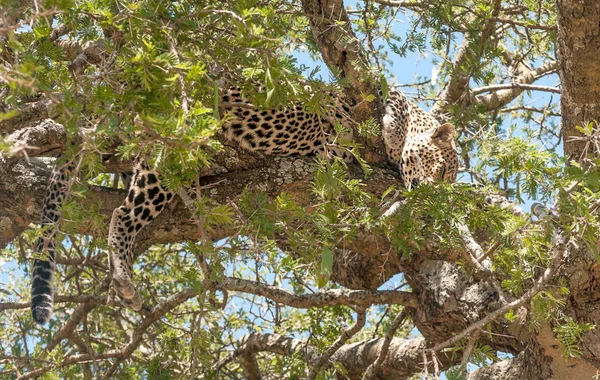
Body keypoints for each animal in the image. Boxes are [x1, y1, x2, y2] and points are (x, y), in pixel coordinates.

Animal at [29, 87, 460, 326]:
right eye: (441, 169)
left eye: (446, 180)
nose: (429, 194)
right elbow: (389, 113)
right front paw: (393, 132)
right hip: (166, 153)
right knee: (122, 213)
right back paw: (123, 279)